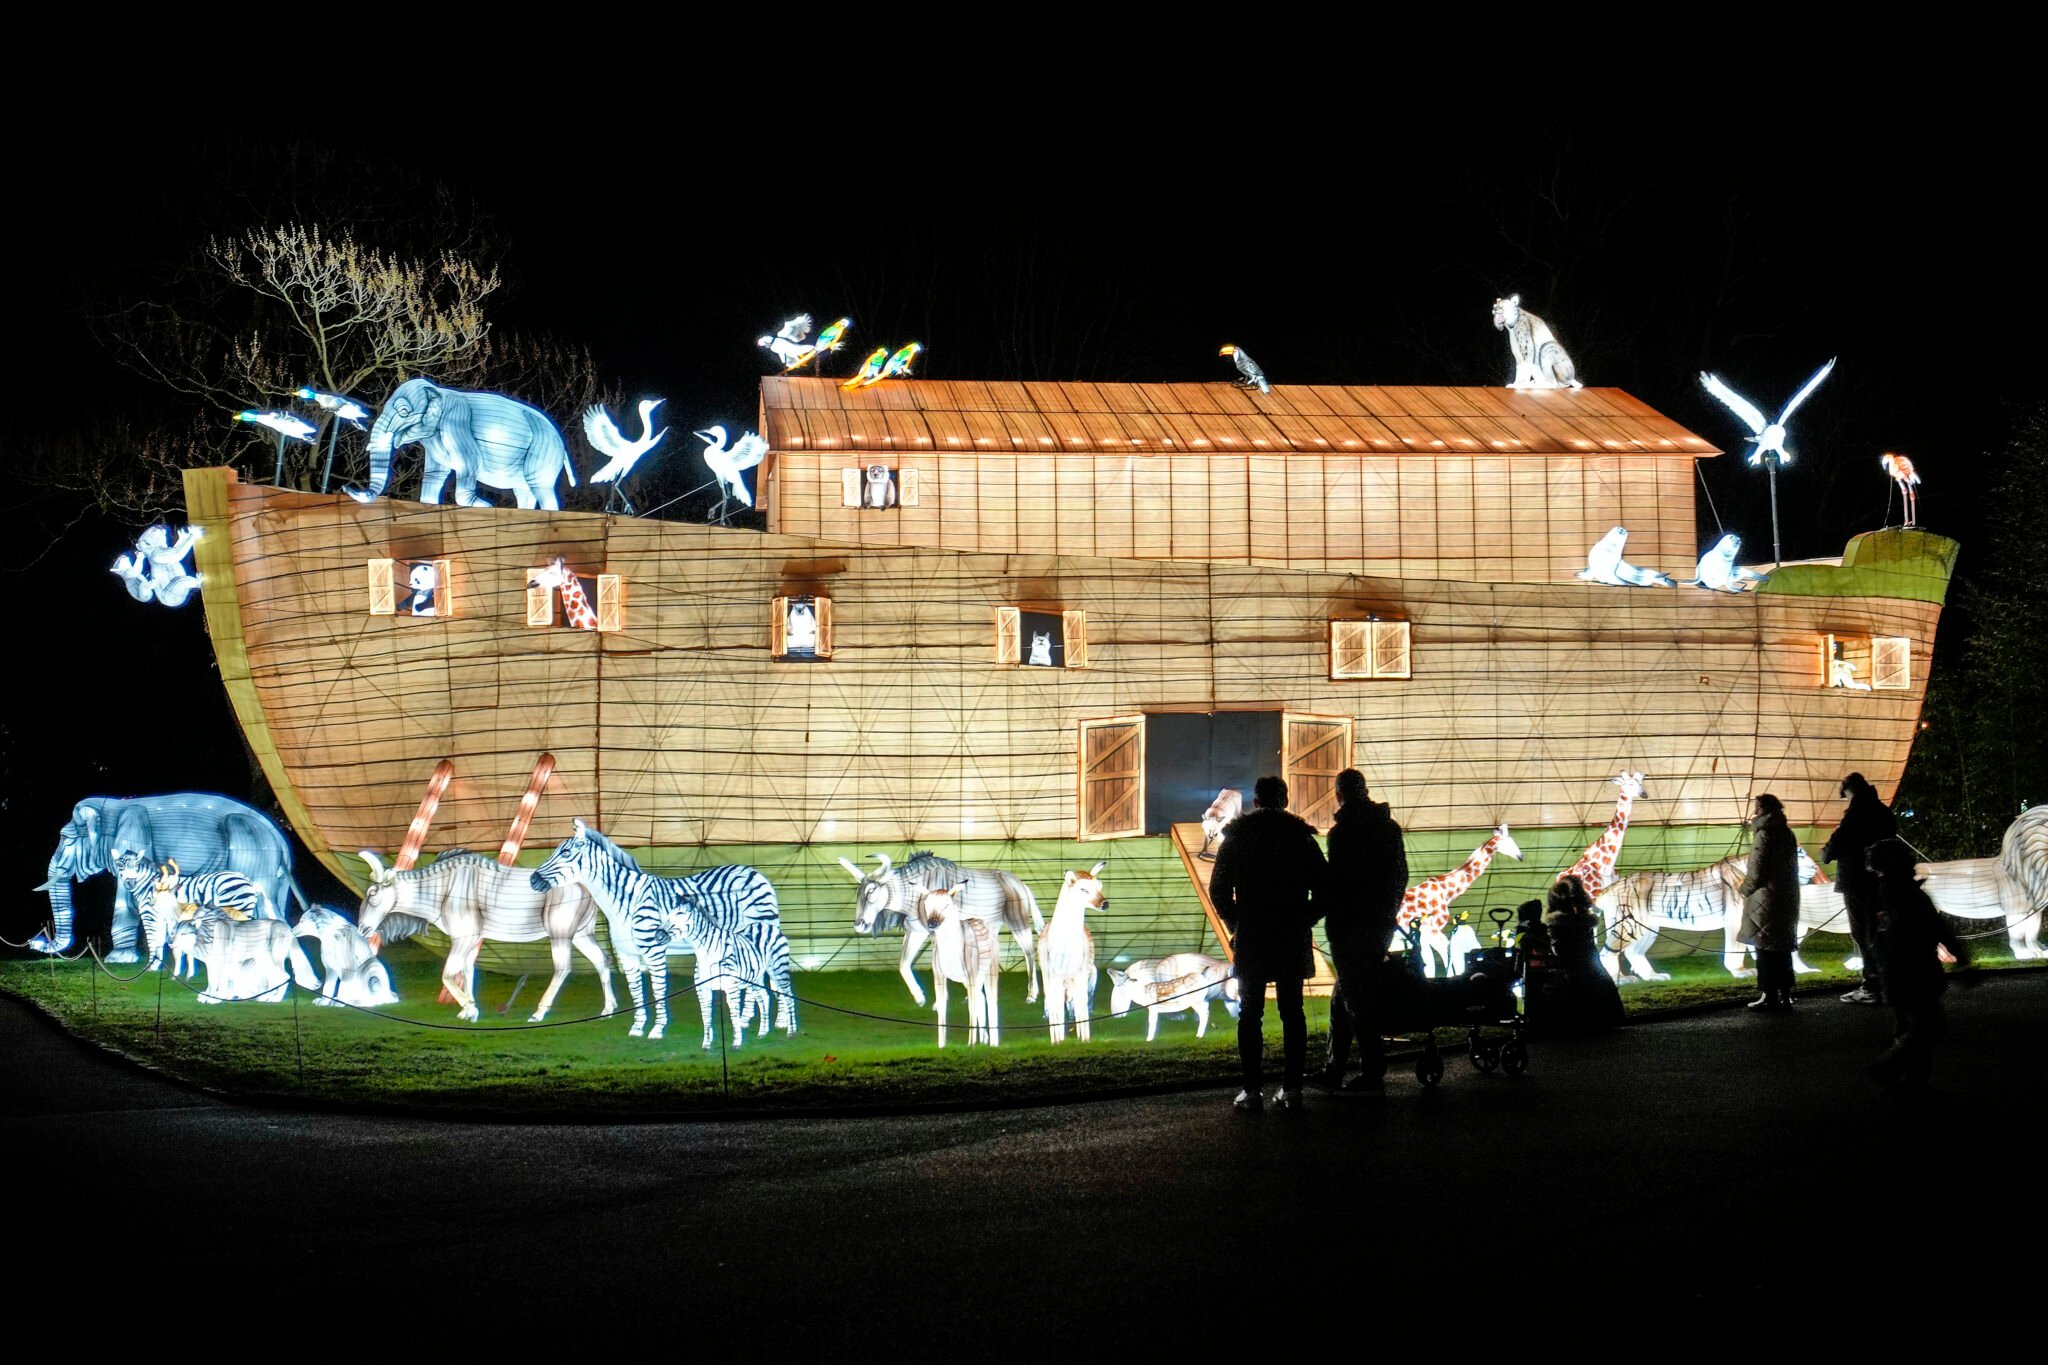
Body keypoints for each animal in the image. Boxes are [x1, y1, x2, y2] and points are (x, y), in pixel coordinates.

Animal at [117, 859, 272, 978]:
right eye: (120, 867)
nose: (129, 883)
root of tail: (247, 880)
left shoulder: (151, 917)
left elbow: (153, 941)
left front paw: (152, 968)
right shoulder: (163, 921)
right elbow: (163, 942)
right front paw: (159, 968)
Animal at [532, 822, 794, 1047]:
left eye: (566, 852)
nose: (533, 879)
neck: (627, 900)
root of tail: (754, 872)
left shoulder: (654, 950)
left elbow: (658, 989)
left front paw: (657, 1029)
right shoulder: (627, 954)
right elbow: (636, 991)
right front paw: (637, 1028)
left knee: (772, 975)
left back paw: (777, 1022)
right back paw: (753, 1019)